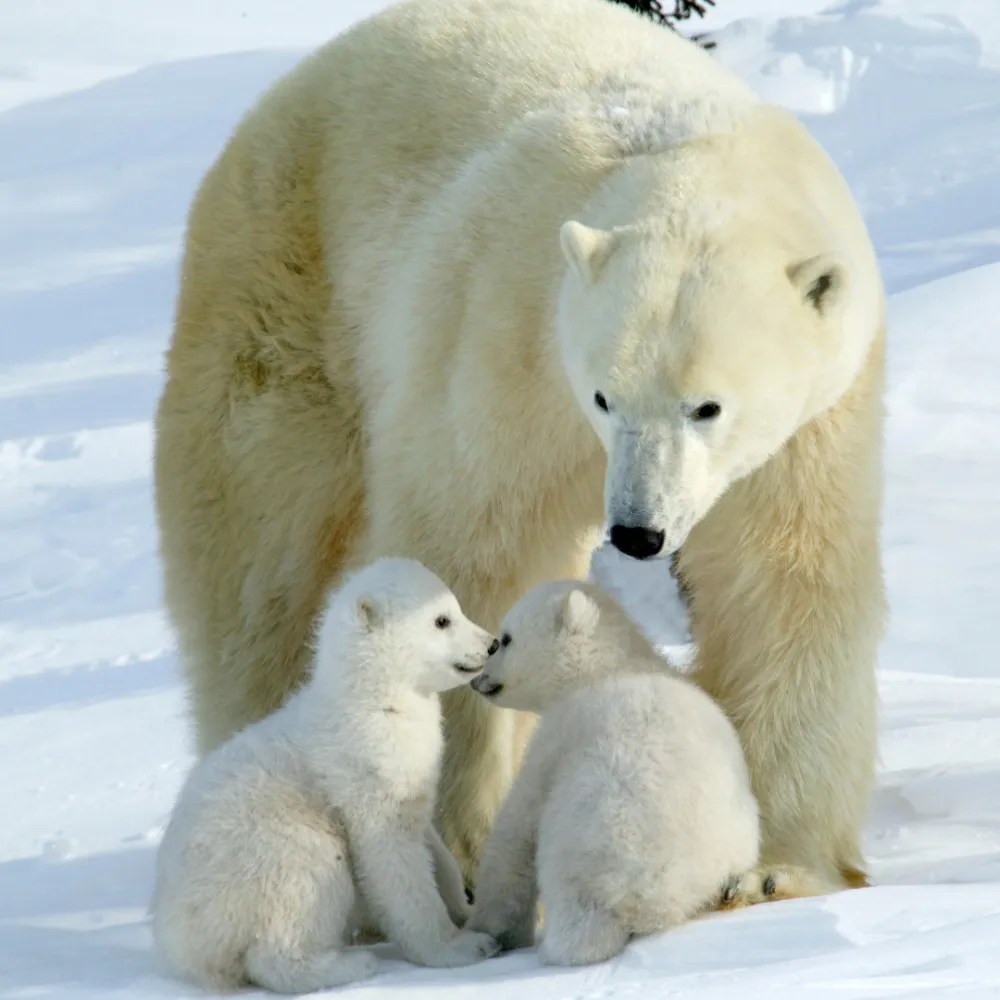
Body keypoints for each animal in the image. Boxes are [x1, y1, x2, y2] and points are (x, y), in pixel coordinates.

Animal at [150, 558, 500, 994]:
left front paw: (465, 905)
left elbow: (431, 841)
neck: (373, 700)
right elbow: (391, 859)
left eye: (454, 607)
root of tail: (180, 944)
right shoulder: (365, 769)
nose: (491, 643)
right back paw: (348, 964)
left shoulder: (411, 773)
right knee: (302, 890)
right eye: (441, 619)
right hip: (266, 853)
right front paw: (460, 946)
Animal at [153, 0, 886, 893]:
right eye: (605, 395)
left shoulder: (812, 422)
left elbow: (782, 582)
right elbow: (473, 549)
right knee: (262, 564)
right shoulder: (507, 335)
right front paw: (464, 844)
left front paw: (777, 866)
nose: (637, 532)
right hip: (285, 290)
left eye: (706, 406)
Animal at [464, 579, 810, 964]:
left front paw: (491, 930)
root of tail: (653, 901)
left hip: (590, 844)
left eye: (505, 639)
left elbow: (516, 830)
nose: (478, 680)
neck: (613, 665)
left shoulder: (561, 733)